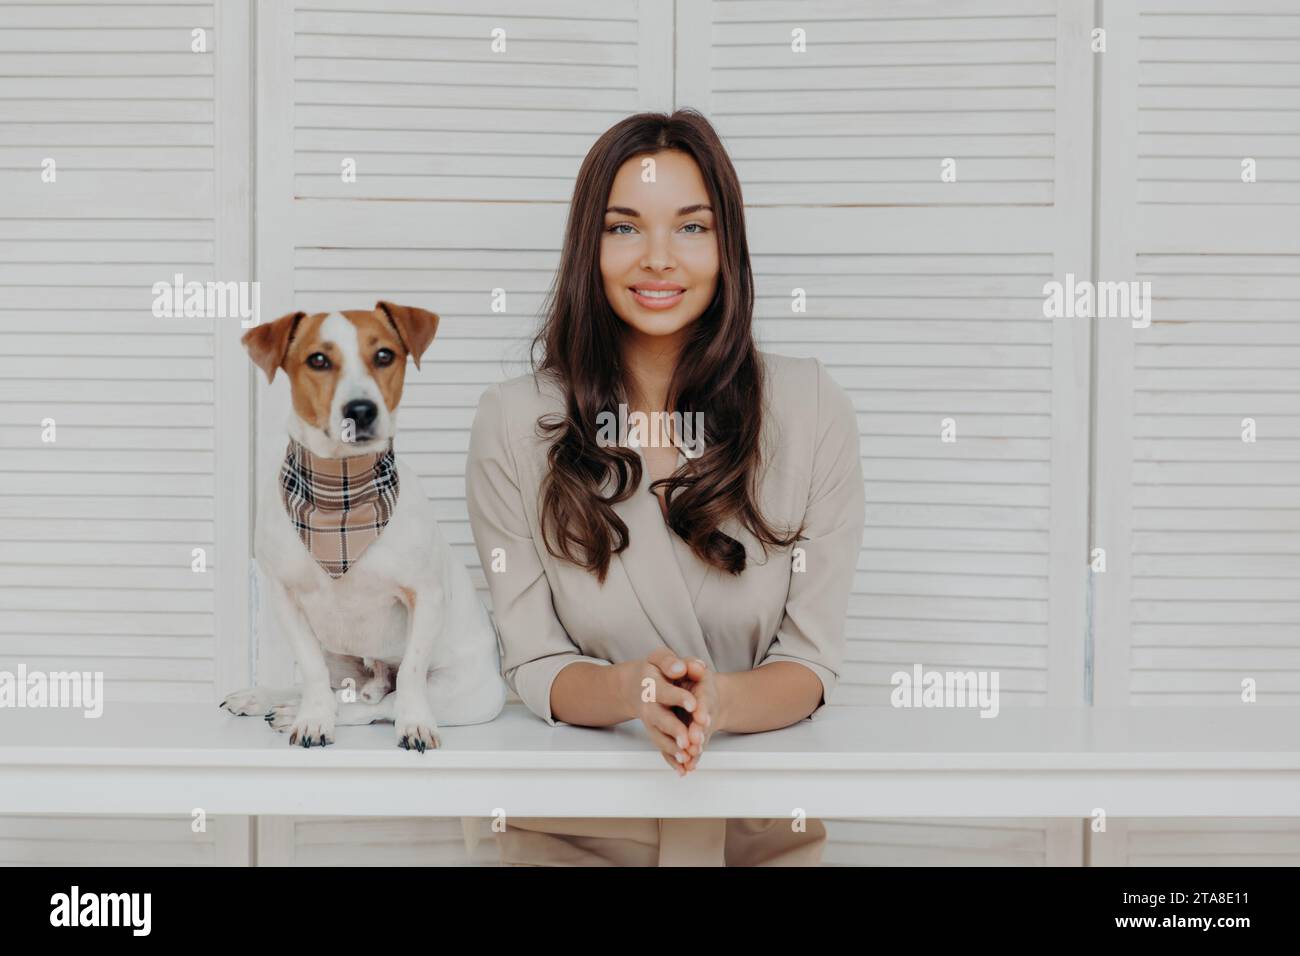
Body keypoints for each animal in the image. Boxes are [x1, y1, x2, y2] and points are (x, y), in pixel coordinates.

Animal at [220, 299, 504, 749]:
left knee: (379, 704)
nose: (361, 410)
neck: (341, 493)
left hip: (460, 693)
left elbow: (410, 675)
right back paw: (268, 699)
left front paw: (414, 725)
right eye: (318, 360)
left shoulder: (425, 596)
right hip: (339, 657)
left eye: (384, 355)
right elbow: (311, 673)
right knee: (336, 688)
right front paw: (313, 718)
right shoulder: (285, 597)